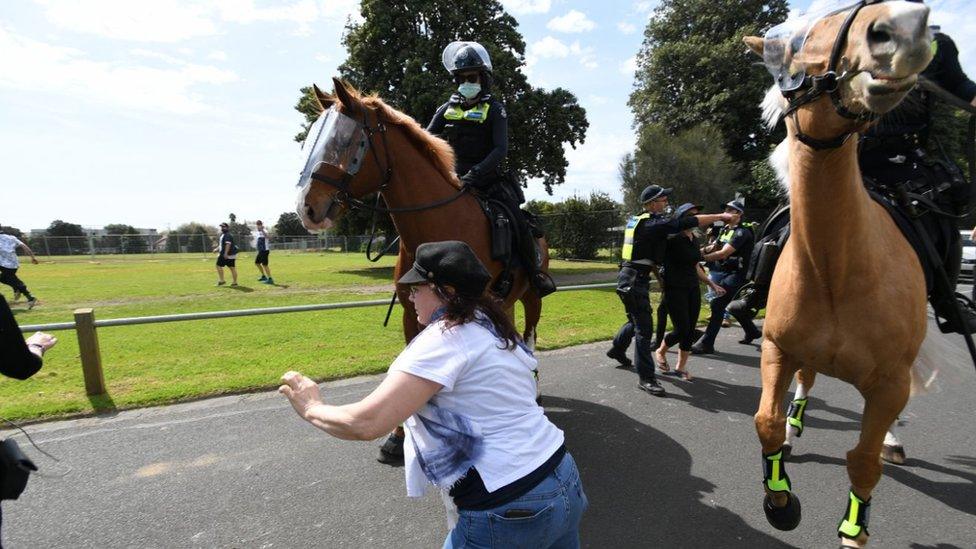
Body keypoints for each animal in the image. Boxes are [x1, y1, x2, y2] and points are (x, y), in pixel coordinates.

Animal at [744, 1, 936, 544]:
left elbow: (865, 460)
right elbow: (766, 421)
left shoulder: (889, 382)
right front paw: (780, 500)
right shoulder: (778, 347)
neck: (836, 268)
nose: (905, 25)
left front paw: (854, 528)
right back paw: (795, 426)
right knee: (806, 383)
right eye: (795, 43)